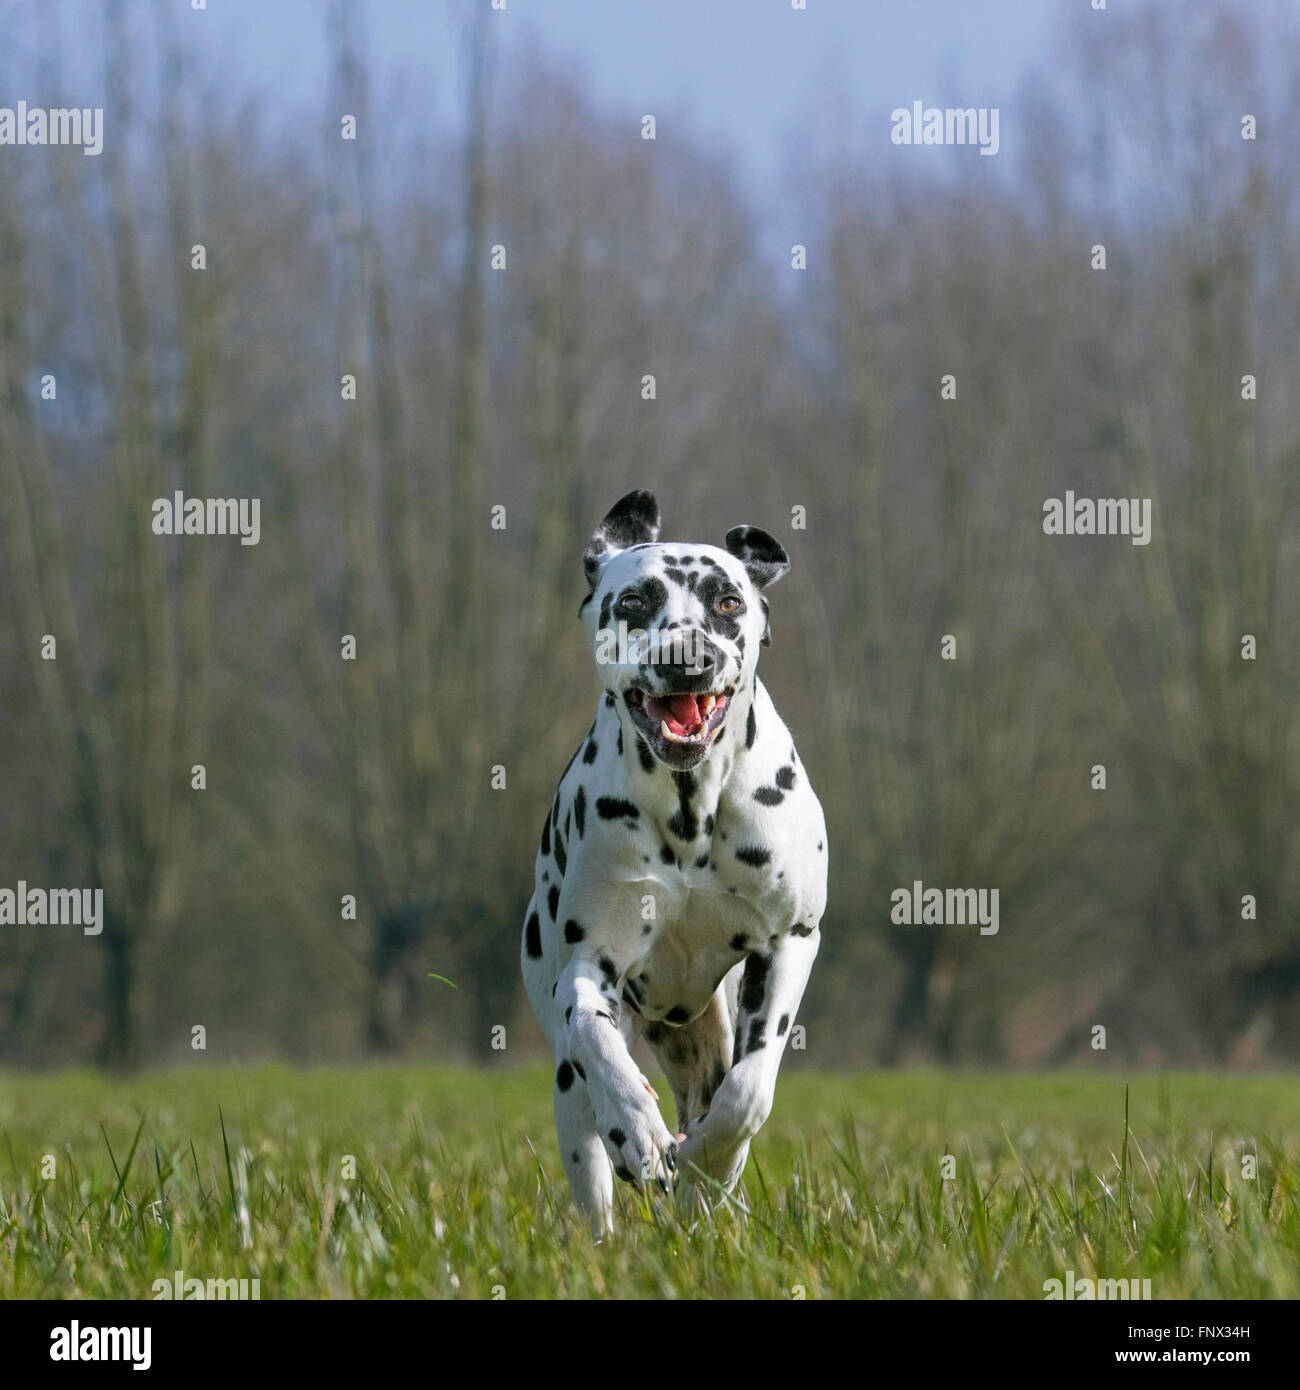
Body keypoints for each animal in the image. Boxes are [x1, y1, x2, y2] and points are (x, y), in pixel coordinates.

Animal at [517, 492, 823, 1239]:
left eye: (727, 602)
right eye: (633, 601)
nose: (689, 658)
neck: (692, 812)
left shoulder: (789, 943)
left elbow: (749, 1091)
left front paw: (712, 1158)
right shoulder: (589, 965)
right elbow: (596, 1040)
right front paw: (641, 1133)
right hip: (569, 1077)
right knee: (589, 1153)